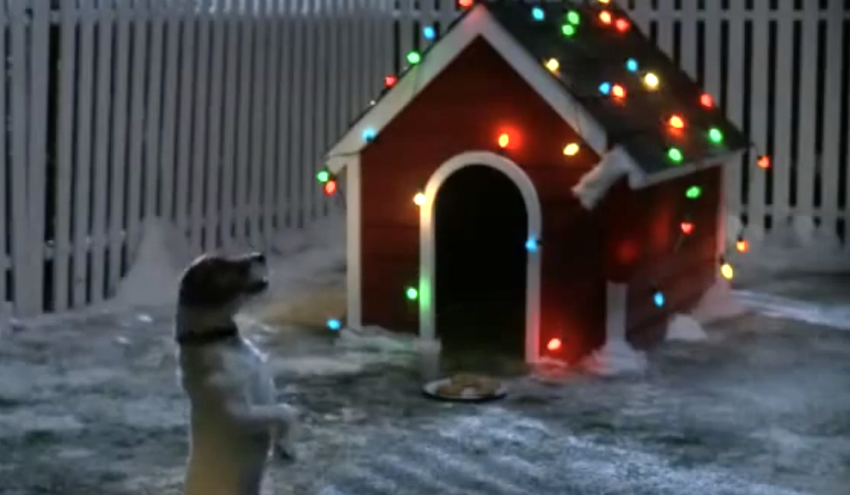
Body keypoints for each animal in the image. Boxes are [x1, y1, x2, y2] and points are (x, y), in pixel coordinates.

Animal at [172, 254, 298, 494]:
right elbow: (285, 411)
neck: (218, 341)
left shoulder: (266, 389)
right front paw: (286, 446)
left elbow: (281, 411)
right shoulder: (239, 413)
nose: (260, 255)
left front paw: (282, 443)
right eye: (225, 266)